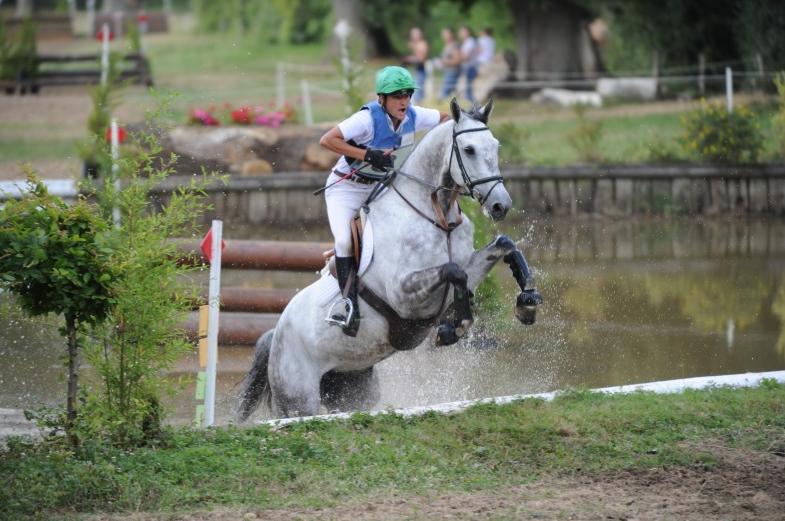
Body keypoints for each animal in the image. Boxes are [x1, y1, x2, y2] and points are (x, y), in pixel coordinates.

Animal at [239, 97, 544, 420]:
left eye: (495, 146)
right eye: (469, 149)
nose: (500, 206)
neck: (436, 215)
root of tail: (276, 334)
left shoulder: (464, 271)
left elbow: (503, 245)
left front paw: (527, 302)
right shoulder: (404, 297)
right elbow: (452, 271)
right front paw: (453, 328)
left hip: (353, 387)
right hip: (297, 398)